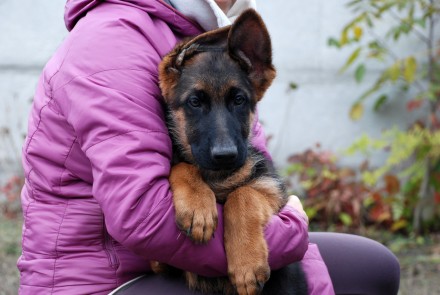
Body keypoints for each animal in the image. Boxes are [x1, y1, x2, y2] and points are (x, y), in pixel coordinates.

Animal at [154, 9, 306, 295]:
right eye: (195, 101)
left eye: (239, 100)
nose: (225, 155)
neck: (217, 179)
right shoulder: (159, 263)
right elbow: (182, 165)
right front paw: (197, 205)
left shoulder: (272, 192)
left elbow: (244, 194)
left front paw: (247, 262)